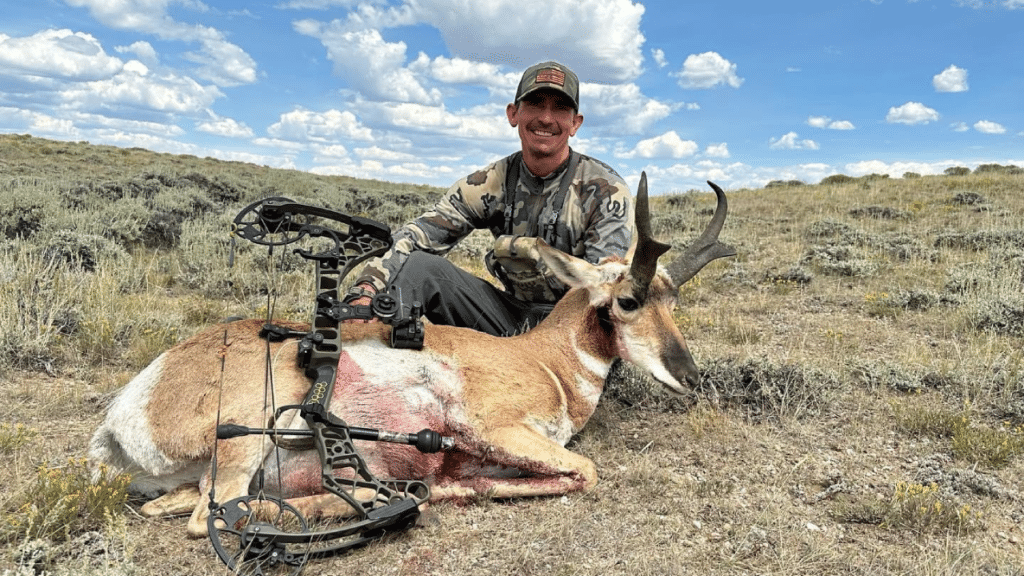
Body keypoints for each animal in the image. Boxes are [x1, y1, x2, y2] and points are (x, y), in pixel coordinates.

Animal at [89, 175, 735, 538]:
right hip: (252, 430)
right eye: (628, 299)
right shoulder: (491, 424)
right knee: (218, 514)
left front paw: (447, 485)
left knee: (180, 504)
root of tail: (124, 412)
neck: (543, 358)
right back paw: (363, 501)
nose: (691, 375)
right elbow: (587, 471)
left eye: (673, 298)